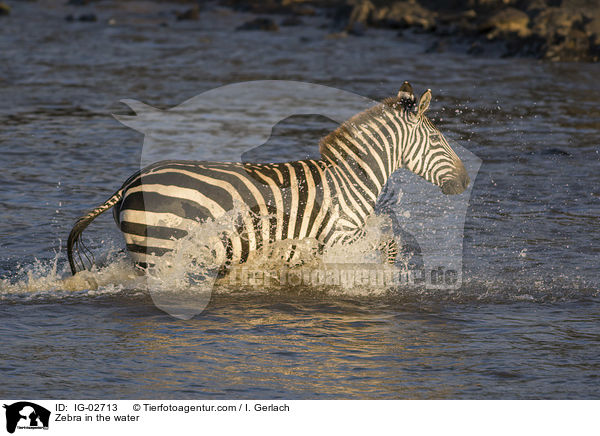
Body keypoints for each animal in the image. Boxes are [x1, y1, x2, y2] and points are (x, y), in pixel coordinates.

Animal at [65, 82, 468, 276]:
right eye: (437, 138)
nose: (464, 182)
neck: (349, 180)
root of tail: (129, 182)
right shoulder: (339, 237)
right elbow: (389, 245)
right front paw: (383, 280)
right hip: (161, 252)